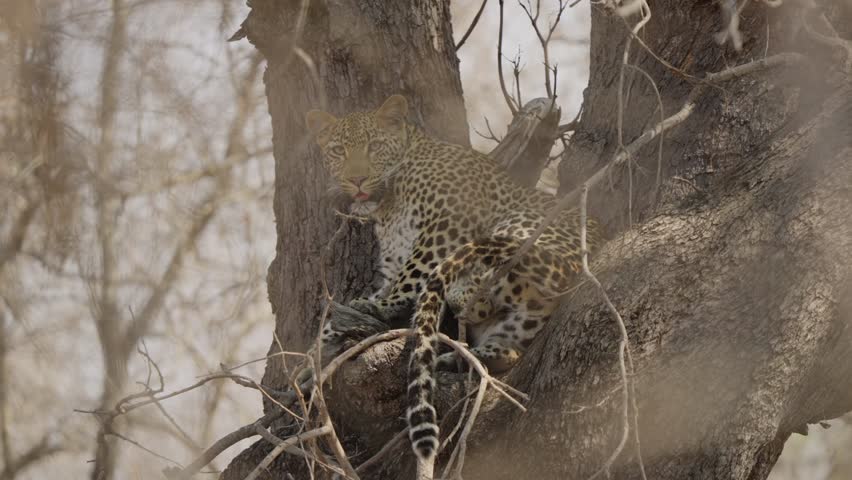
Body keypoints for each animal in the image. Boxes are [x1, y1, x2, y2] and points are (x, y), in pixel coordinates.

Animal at [305, 94, 602, 478]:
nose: (356, 180)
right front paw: (315, 349)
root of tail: (576, 263)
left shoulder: (446, 224)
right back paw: (463, 357)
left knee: (482, 283)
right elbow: (372, 294)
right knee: (509, 344)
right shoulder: (392, 262)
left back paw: (458, 303)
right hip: (520, 316)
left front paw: (379, 308)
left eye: (374, 147)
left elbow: (411, 276)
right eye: (338, 150)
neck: (388, 203)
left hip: (514, 226)